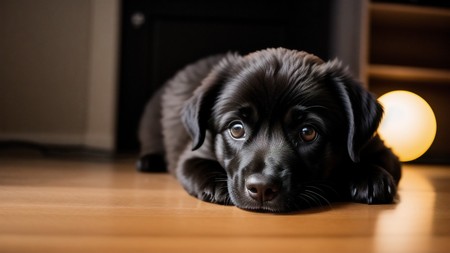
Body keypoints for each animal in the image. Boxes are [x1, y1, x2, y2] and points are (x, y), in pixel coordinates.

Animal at [137, 48, 400, 212]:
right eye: (236, 129)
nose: (262, 188)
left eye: (308, 132)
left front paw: (370, 177)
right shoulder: (194, 152)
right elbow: (193, 165)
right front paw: (216, 186)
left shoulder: (379, 148)